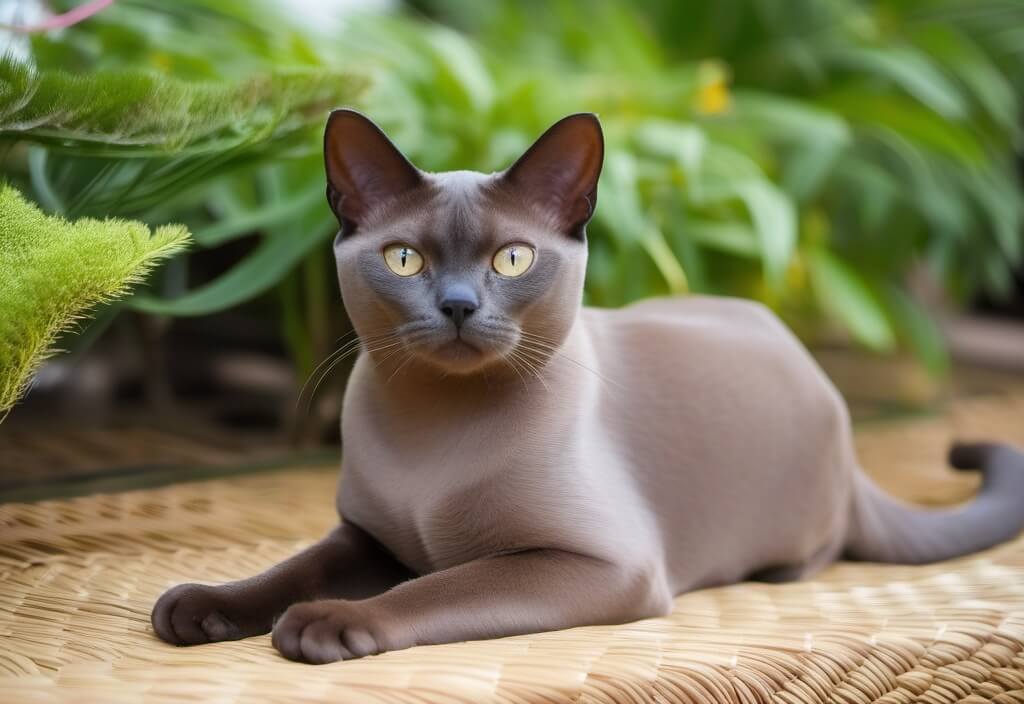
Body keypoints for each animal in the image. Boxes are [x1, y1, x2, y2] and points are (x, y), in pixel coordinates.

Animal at [151, 111, 1024, 667]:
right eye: (406, 260)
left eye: (511, 259)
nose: (459, 305)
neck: (431, 434)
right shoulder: (366, 537)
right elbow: (289, 570)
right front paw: (197, 607)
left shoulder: (595, 561)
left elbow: (437, 585)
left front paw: (325, 625)